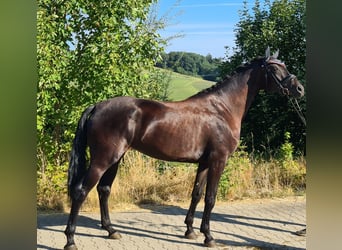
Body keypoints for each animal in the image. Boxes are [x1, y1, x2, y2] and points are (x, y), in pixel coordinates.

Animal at [64, 47, 304, 249]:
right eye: (274, 68)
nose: (299, 89)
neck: (222, 109)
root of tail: (97, 106)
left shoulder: (205, 162)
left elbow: (196, 194)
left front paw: (190, 231)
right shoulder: (219, 160)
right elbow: (210, 198)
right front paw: (209, 237)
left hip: (115, 159)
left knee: (104, 190)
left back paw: (111, 230)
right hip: (103, 159)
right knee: (81, 191)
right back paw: (71, 239)